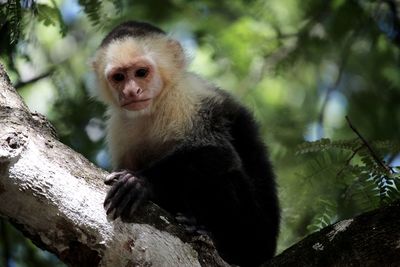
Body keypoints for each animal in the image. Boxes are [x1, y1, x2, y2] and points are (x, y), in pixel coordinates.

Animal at [92, 21, 280, 267]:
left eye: (141, 72)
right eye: (119, 77)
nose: (131, 91)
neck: (154, 107)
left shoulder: (187, 99)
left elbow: (218, 152)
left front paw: (140, 181)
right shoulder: (119, 127)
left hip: (254, 232)